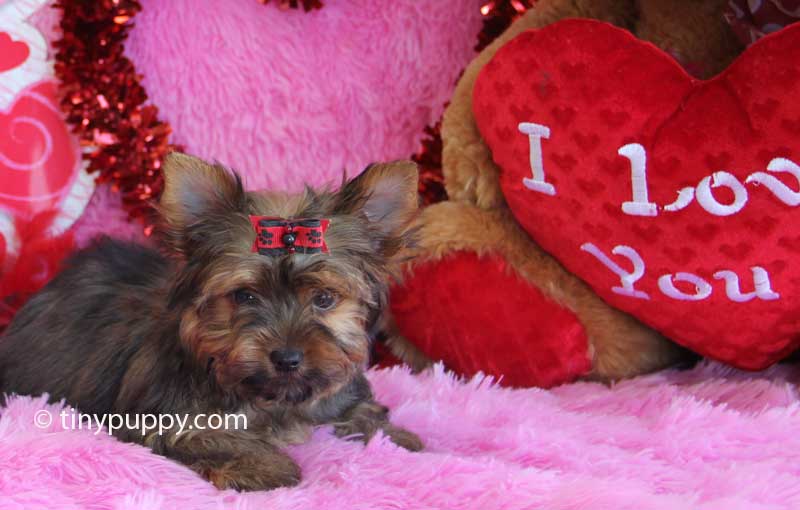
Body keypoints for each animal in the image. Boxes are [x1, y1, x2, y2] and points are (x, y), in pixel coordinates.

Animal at [0, 153, 424, 491]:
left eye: (324, 299)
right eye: (245, 296)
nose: (287, 358)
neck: (271, 397)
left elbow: (359, 409)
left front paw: (397, 437)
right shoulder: (161, 416)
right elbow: (211, 436)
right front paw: (267, 466)